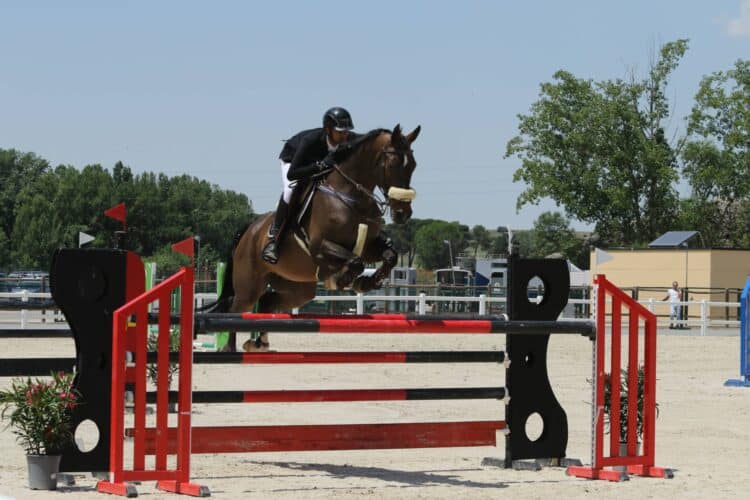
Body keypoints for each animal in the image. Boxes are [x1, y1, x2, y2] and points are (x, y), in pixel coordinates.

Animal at [213, 124, 421, 351]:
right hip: (249, 286)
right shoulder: (319, 246)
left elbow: (390, 255)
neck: (351, 196)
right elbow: (355, 262)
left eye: (413, 165)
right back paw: (229, 349)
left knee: (268, 301)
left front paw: (366, 283)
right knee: (234, 310)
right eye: (392, 164)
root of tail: (249, 230)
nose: (403, 213)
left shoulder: (368, 246)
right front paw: (343, 279)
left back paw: (259, 343)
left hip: (297, 286)